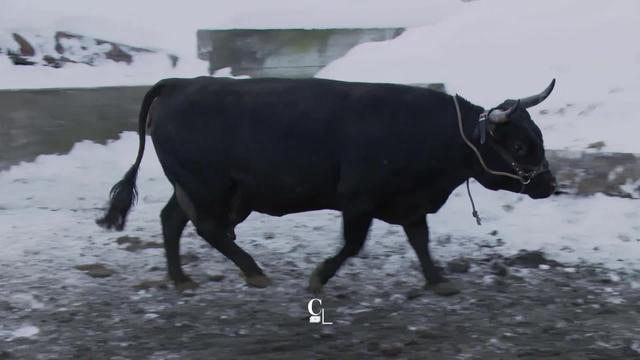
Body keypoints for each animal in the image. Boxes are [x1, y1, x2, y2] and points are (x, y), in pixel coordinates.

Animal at [97, 76, 556, 296]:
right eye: (519, 145)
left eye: (538, 136)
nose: (550, 184)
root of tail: (182, 83)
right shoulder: (358, 200)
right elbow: (352, 245)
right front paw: (319, 277)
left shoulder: (409, 202)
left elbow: (420, 240)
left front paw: (437, 280)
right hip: (209, 186)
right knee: (206, 227)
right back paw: (253, 272)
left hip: (200, 188)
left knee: (172, 220)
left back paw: (181, 278)